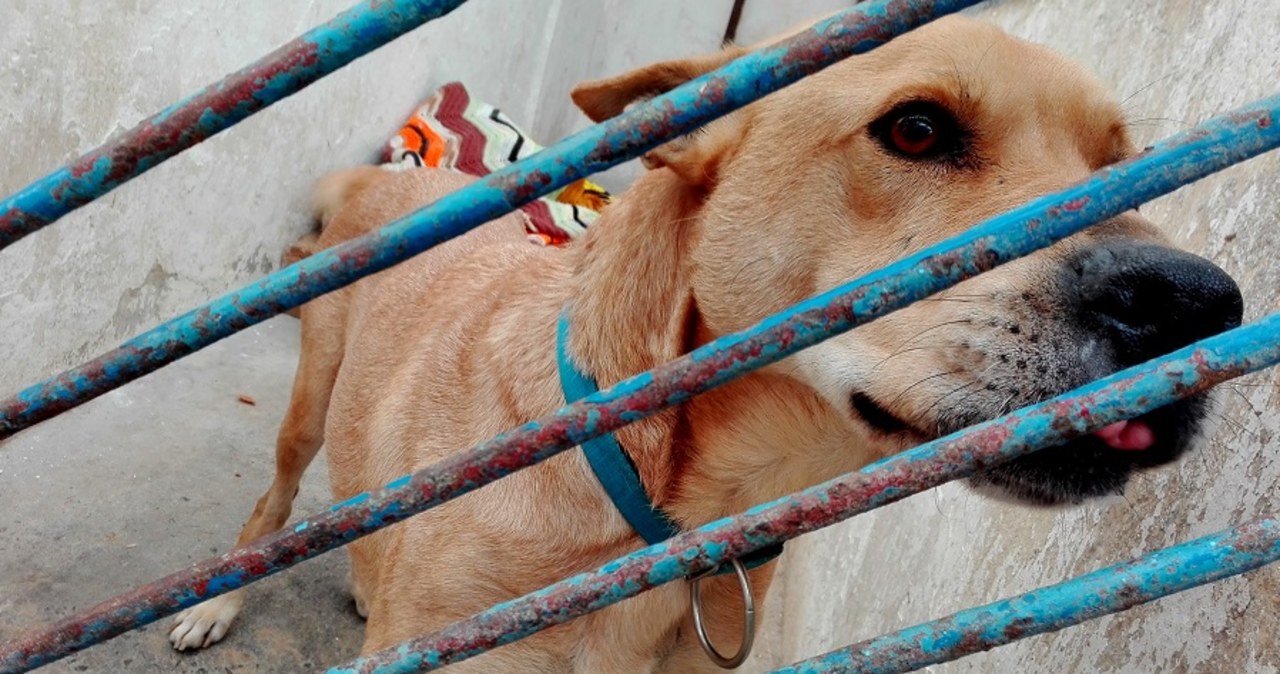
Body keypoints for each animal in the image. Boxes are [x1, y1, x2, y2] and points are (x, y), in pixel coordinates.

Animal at [170, 15, 1239, 674]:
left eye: (1121, 164)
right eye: (918, 129)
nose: (1195, 302)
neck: (666, 506)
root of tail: (405, 180)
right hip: (310, 398)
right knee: (277, 497)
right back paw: (218, 600)